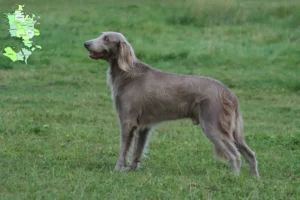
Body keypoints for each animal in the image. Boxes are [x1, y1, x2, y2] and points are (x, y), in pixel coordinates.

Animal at [83, 31, 258, 177]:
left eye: (106, 39)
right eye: (101, 35)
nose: (86, 43)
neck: (127, 74)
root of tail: (230, 94)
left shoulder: (127, 121)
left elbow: (123, 149)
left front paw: (118, 169)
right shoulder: (144, 126)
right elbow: (137, 151)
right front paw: (132, 170)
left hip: (213, 125)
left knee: (235, 155)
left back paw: (234, 177)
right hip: (234, 131)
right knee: (250, 153)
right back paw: (254, 178)